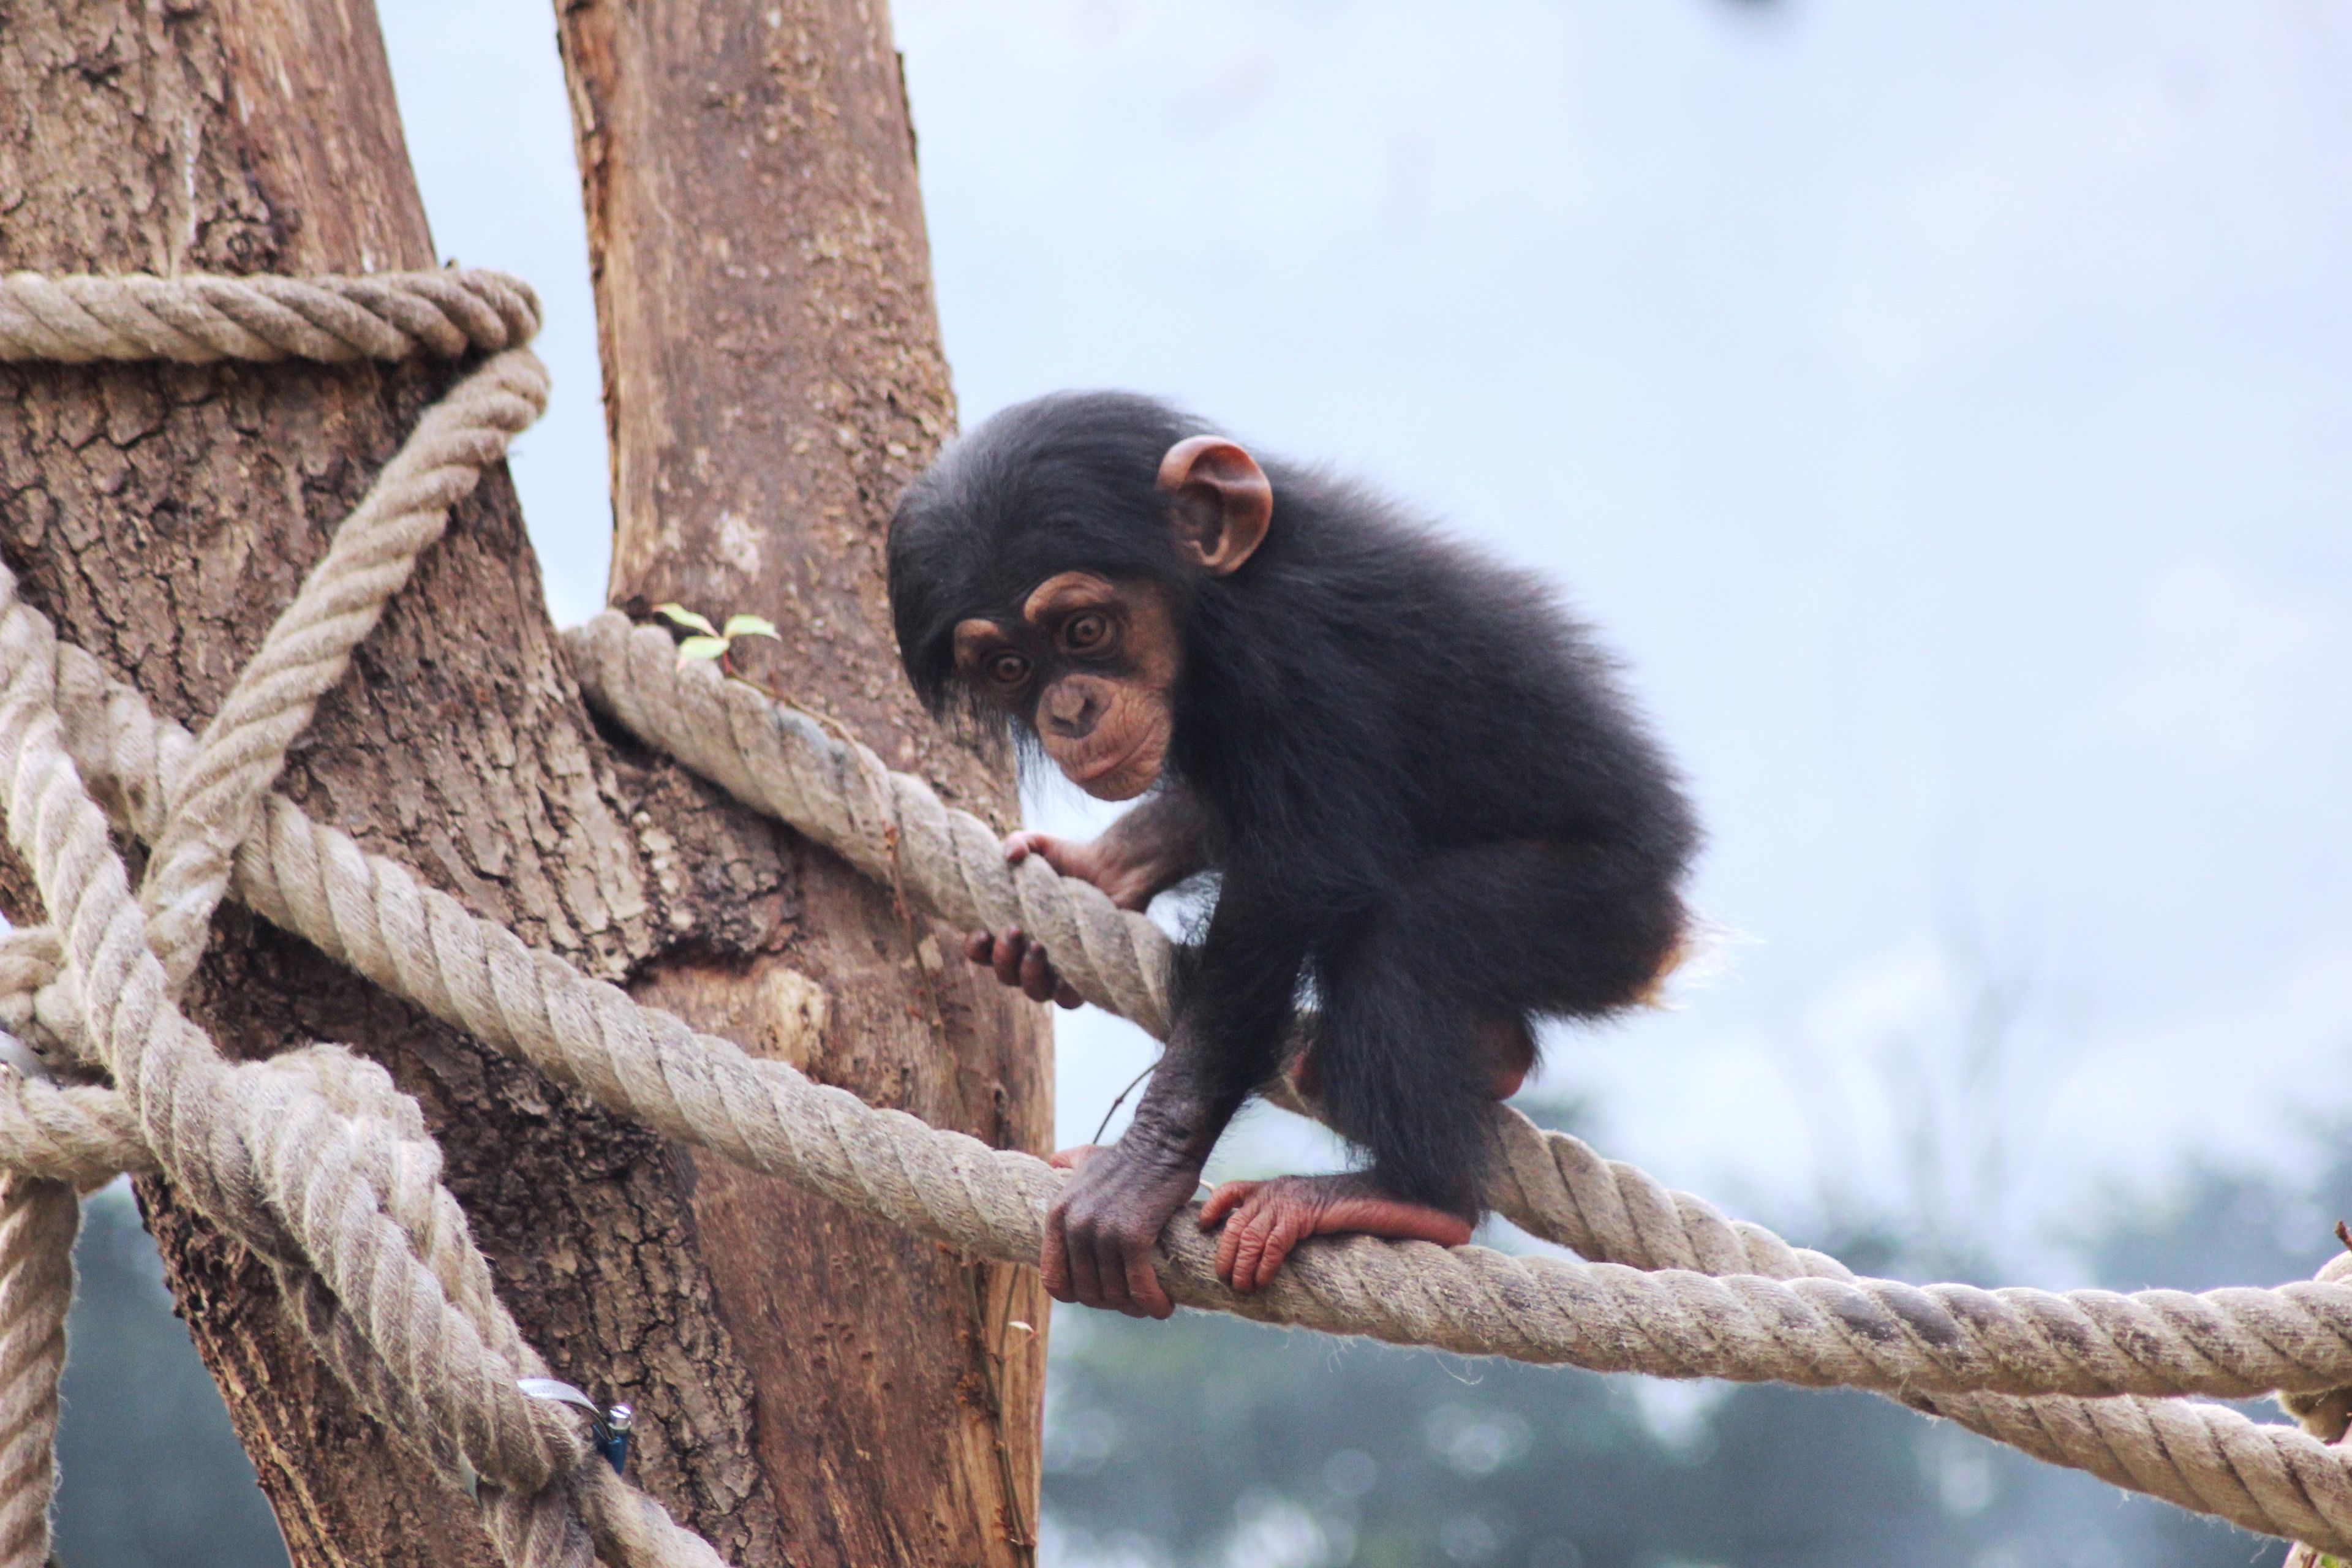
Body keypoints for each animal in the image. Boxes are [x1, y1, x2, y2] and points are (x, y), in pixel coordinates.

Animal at [887, 391, 1698, 1318]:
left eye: (1084, 629)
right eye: (1010, 667)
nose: (1071, 709)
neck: (1212, 614)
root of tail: (1669, 936)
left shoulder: (1298, 656)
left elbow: (1289, 888)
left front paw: (1140, 1174)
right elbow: (1214, 810)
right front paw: (1090, 875)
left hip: (1596, 915)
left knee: (1409, 939)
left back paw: (1405, 1197)